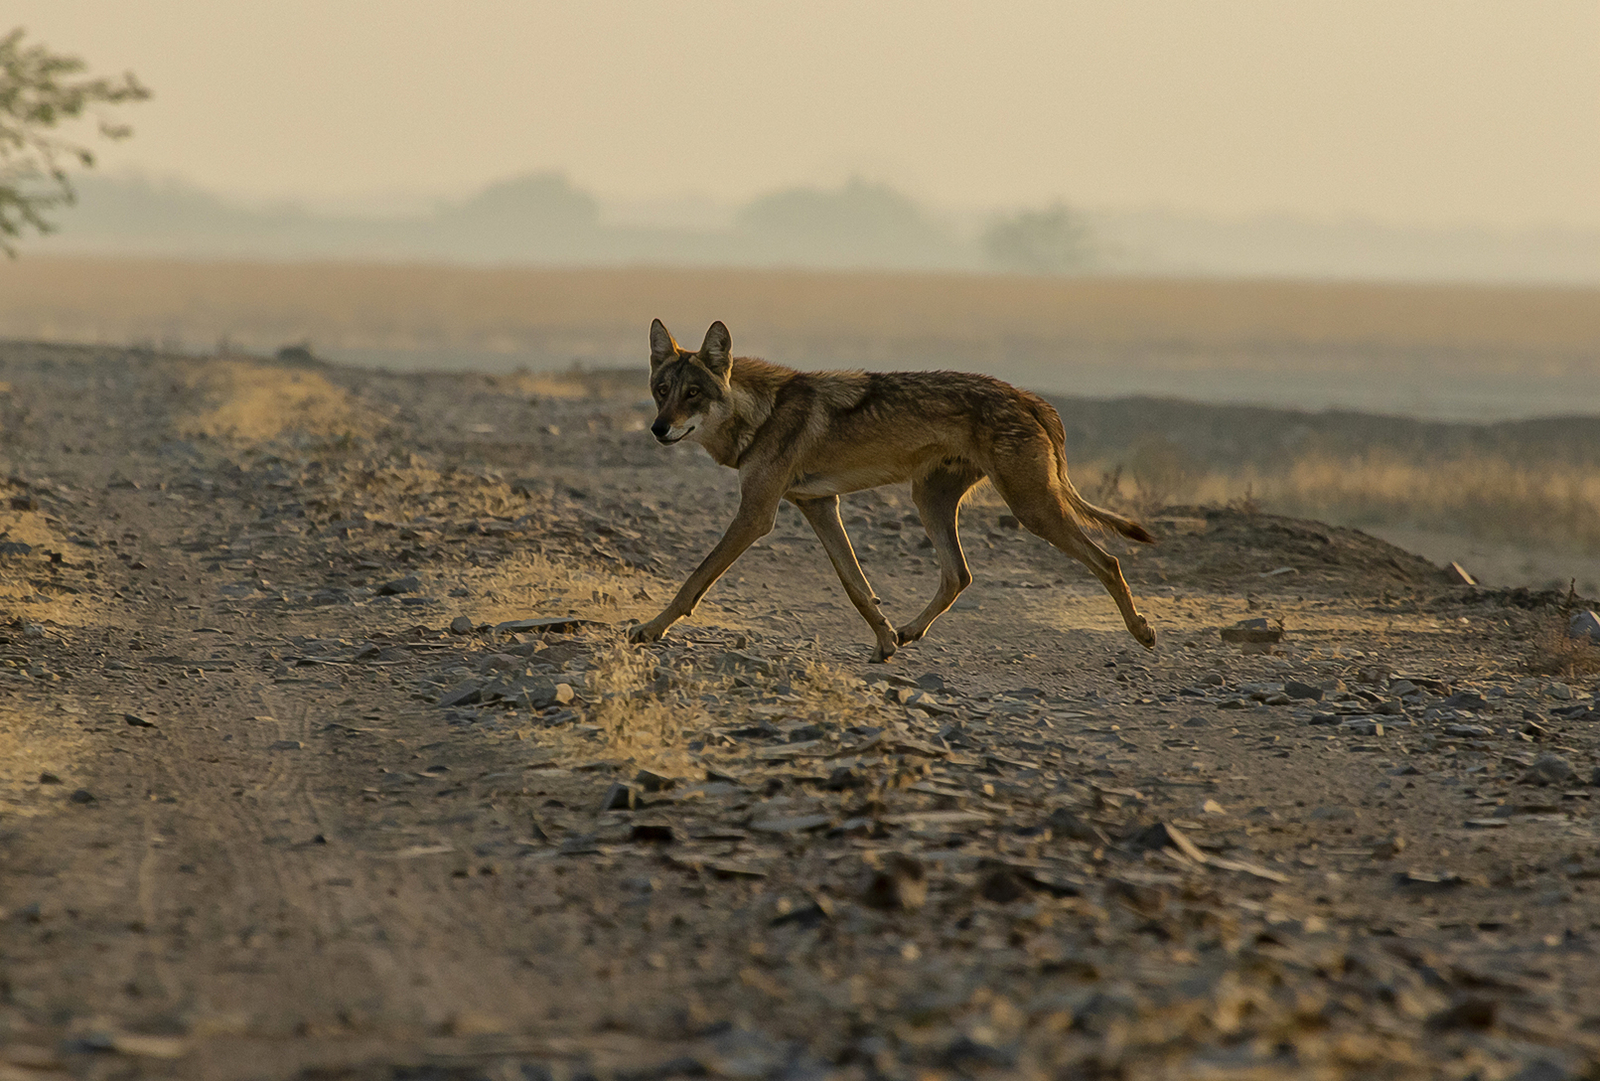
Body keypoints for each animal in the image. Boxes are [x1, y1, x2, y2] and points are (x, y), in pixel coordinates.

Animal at [628, 319, 1156, 661]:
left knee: (1108, 561)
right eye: (661, 391)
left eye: (693, 394)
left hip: (1031, 508)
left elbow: (695, 579)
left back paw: (1143, 632)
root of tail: (1028, 397)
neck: (759, 415)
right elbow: (857, 587)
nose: (657, 429)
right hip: (930, 501)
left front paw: (651, 629)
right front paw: (884, 641)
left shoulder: (758, 514)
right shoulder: (819, 505)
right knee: (958, 575)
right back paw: (908, 632)